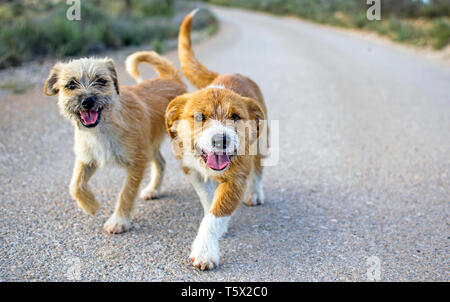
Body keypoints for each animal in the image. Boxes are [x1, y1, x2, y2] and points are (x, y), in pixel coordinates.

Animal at [44, 51, 186, 234]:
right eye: (71, 84)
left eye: (101, 81)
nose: (87, 101)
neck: (104, 127)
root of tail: (170, 78)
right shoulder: (88, 159)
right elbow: (75, 185)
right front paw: (90, 206)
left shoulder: (136, 163)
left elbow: (126, 193)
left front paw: (119, 220)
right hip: (150, 146)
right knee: (161, 163)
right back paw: (153, 189)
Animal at [167, 10, 268, 270]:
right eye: (200, 117)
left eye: (235, 116)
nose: (220, 140)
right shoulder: (192, 172)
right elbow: (208, 202)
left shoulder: (235, 178)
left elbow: (215, 214)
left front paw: (205, 251)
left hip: (264, 144)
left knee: (258, 170)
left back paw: (255, 193)